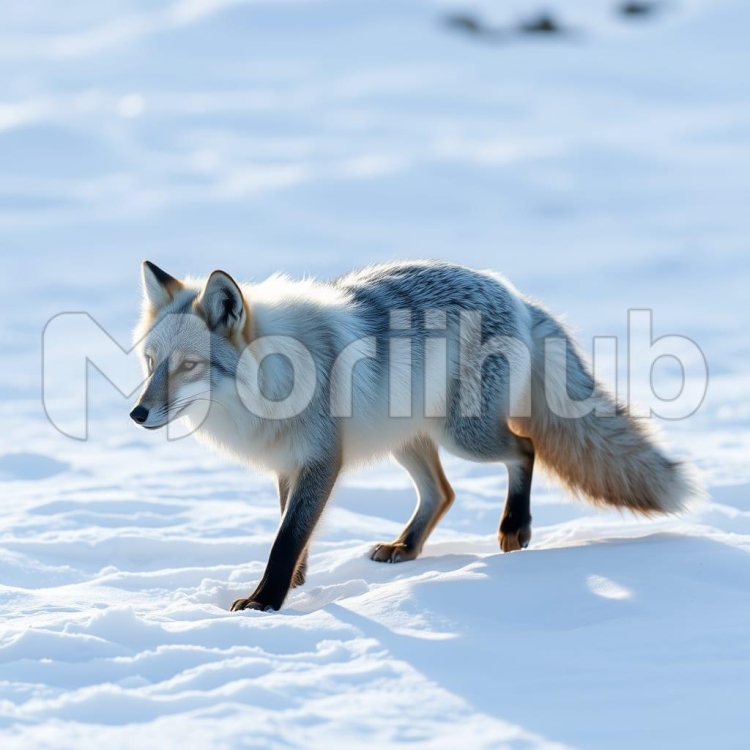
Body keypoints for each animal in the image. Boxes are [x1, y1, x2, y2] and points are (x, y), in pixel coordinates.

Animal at [130, 259, 697, 611]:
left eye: (188, 366)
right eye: (152, 363)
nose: (136, 413)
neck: (273, 380)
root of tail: (517, 295)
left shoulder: (320, 459)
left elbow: (286, 538)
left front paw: (266, 602)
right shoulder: (289, 463)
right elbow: (293, 532)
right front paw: (295, 584)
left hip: (464, 435)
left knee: (524, 448)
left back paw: (515, 527)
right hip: (407, 441)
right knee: (443, 493)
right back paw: (407, 546)